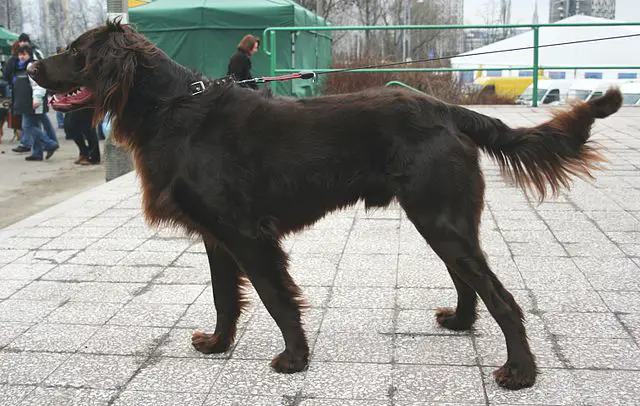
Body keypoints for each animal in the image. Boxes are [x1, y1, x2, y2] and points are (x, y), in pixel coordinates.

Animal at [27, 20, 624, 392]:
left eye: (76, 52)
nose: (31, 69)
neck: (174, 108)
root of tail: (447, 109)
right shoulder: (216, 236)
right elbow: (225, 298)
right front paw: (217, 345)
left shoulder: (247, 234)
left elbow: (275, 298)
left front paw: (294, 359)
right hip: (443, 220)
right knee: (469, 282)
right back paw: (458, 321)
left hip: (439, 216)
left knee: (502, 298)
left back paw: (519, 372)